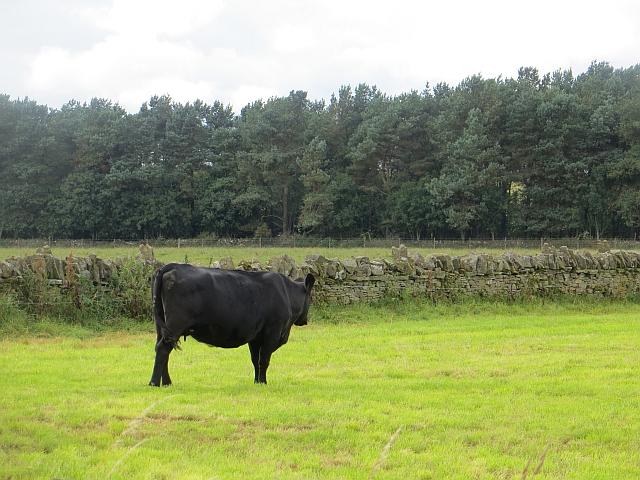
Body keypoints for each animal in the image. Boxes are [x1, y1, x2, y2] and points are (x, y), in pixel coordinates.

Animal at [148, 263, 315, 386]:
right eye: (311, 298)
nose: (305, 321)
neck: (287, 293)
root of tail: (173, 266)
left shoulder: (255, 336)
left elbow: (255, 359)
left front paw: (256, 382)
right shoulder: (272, 332)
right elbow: (264, 359)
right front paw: (263, 382)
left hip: (162, 326)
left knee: (161, 348)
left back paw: (167, 383)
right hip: (176, 323)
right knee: (163, 348)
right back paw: (154, 383)